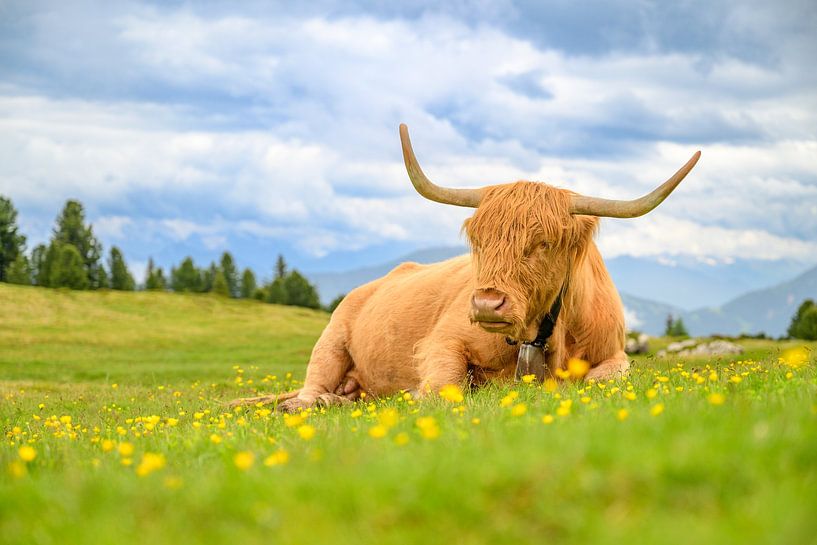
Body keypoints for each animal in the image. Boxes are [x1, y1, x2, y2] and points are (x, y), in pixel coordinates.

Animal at [232, 124, 700, 411]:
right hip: (331, 341)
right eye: (478, 241)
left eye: (544, 243)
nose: (487, 304)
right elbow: (443, 387)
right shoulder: (444, 340)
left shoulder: (615, 354)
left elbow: (606, 378)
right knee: (311, 389)